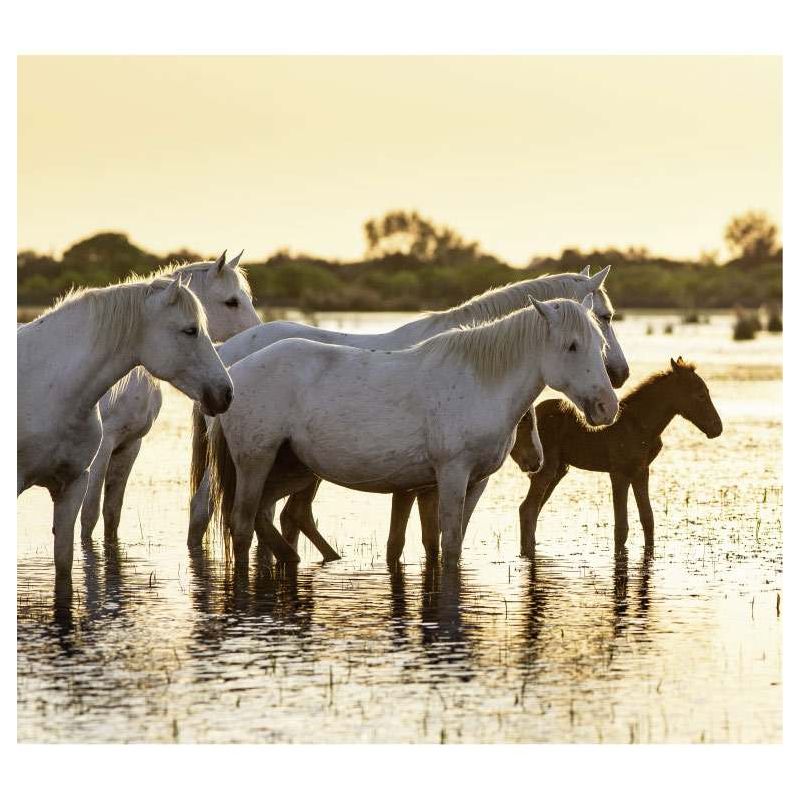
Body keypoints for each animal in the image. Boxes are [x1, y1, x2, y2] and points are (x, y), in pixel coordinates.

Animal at [79, 253, 258, 540]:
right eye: (232, 301)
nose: (259, 332)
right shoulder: (103, 447)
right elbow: (89, 514)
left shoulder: (129, 445)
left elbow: (112, 513)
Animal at [512, 360, 724, 552]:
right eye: (700, 395)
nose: (717, 428)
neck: (643, 426)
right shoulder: (619, 473)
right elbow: (621, 528)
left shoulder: (641, 471)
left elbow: (648, 519)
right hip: (546, 467)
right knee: (528, 509)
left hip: (559, 470)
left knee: (532, 509)